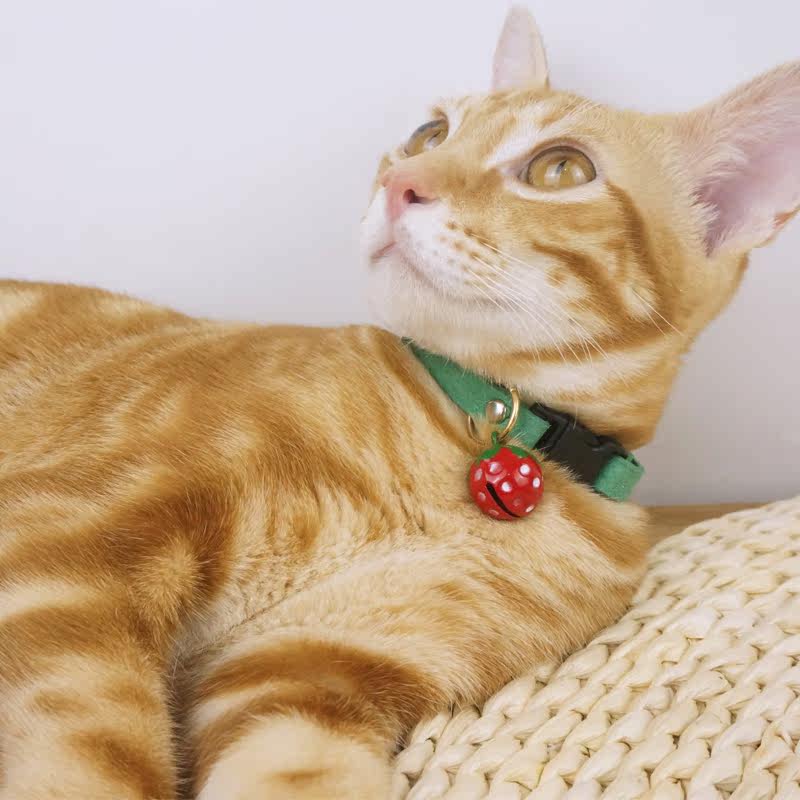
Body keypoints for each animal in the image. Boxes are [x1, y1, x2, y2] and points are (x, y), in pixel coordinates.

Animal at [0, 7, 798, 800]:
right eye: (429, 134)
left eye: (561, 169)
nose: (400, 181)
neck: (471, 440)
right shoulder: (74, 536)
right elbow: (76, 757)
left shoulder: (305, 669)